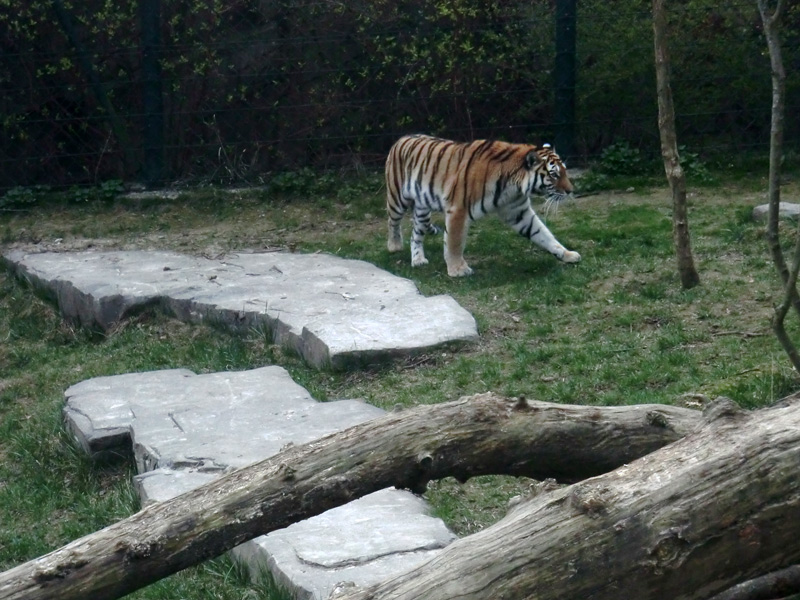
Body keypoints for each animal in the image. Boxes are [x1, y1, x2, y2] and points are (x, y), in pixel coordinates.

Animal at [384, 134, 580, 276]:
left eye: (565, 171)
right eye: (554, 175)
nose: (571, 191)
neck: (513, 186)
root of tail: (400, 139)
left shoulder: (518, 211)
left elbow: (544, 234)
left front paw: (567, 254)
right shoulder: (458, 210)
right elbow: (454, 242)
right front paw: (458, 270)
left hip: (423, 210)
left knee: (416, 235)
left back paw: (418, 260)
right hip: (397, 198)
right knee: (393, 222)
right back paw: (394, 246)